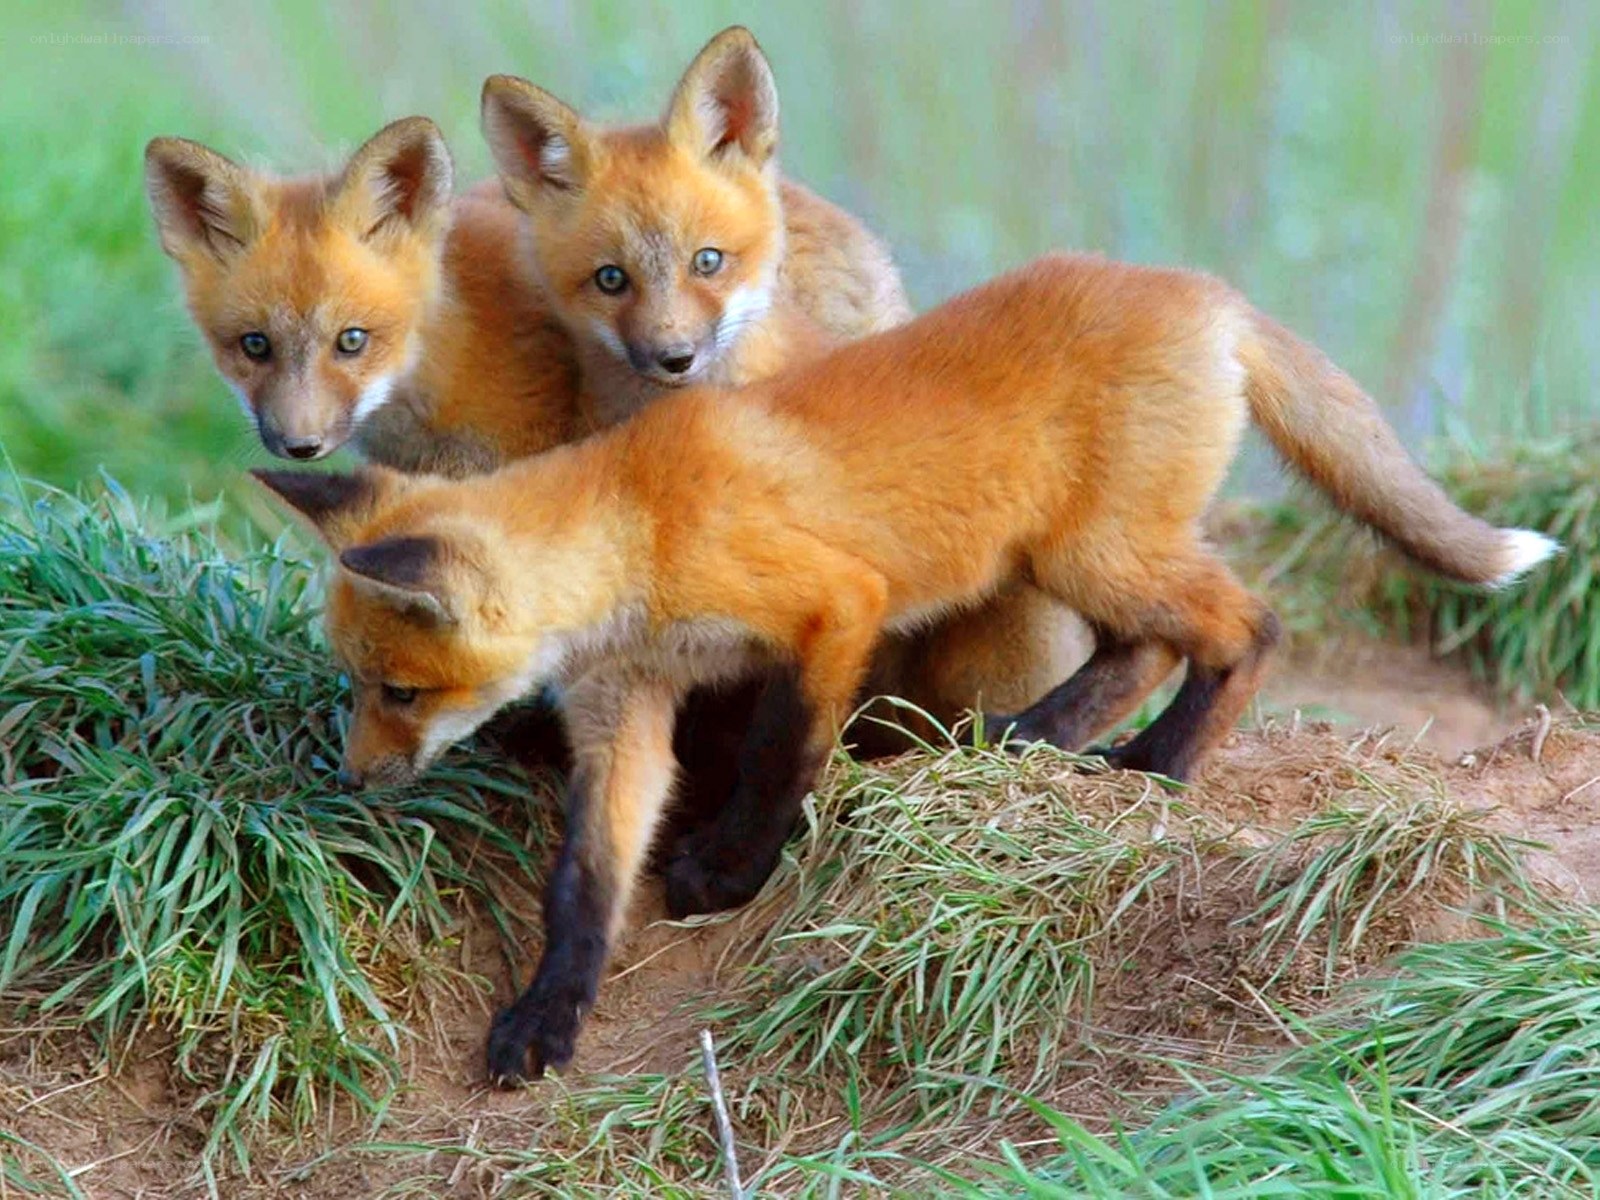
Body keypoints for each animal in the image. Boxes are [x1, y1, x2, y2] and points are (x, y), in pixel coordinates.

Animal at [255, 252, 1557, 1083]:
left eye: (400, 691)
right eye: (362, 686)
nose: (349, 779)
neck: (639, 530)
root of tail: (1207, 292)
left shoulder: (835, 608)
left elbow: (780, 754)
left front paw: (730, 870)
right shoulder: (624, 714)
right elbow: (581, 887)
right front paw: (546, 1016)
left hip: (1098, 550)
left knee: (1247, 628)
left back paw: (1161, 766)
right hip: (1071, 556)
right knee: (1143, 646)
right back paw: (1038, 741)